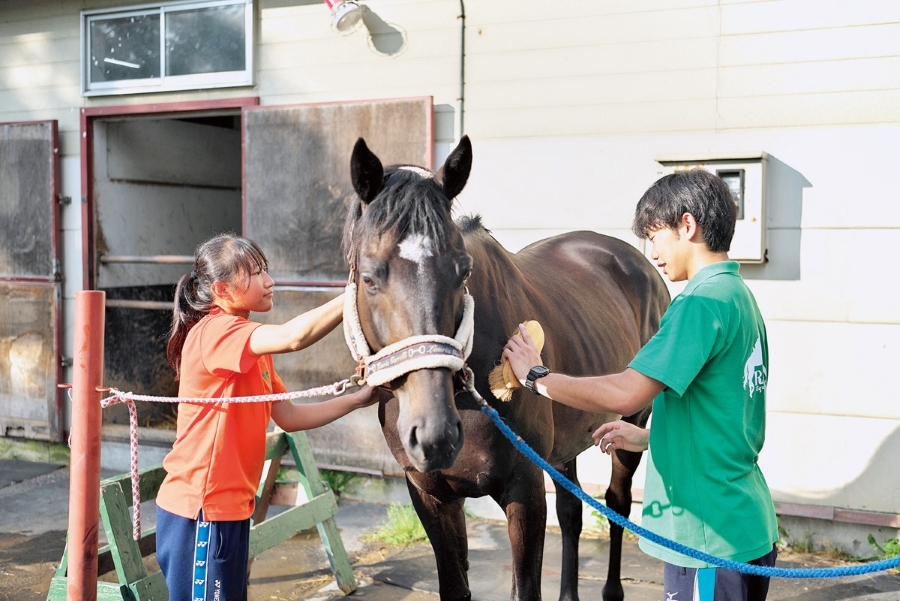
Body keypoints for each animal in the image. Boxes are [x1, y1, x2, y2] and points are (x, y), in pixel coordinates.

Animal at [342, 136, 672, 600]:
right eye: (370, 277)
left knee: (617, 504)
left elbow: (526, 587)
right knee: (571, 511)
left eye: (463, 272)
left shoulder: (525, 488)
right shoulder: (432, 495)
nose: (436, 433)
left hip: (631, 424)